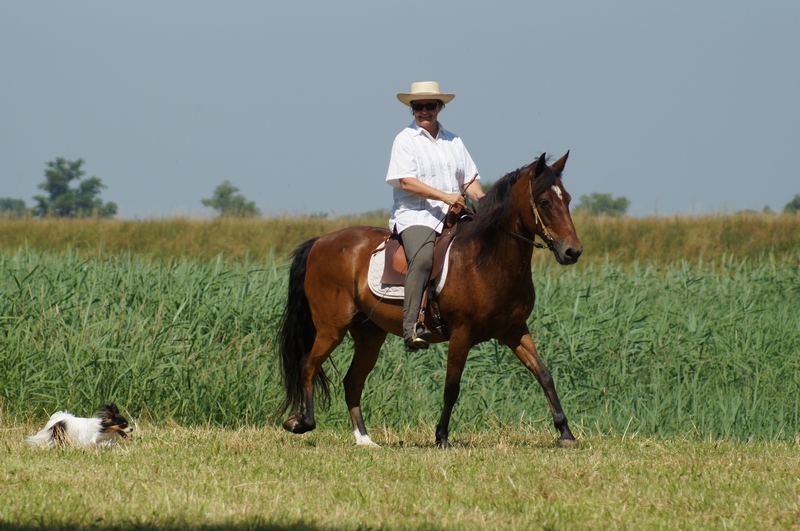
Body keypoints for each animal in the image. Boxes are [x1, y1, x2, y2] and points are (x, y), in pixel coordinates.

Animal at [277, 151, 582, 448]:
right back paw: (301, 422)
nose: (573, 252)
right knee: (308, 365)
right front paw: (441, 437)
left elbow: (544, 374)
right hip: (331, 329)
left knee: (352, 382)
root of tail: (319, 242)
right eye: (544, 201)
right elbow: (452, 387)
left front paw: (565, 433)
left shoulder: (514, 330)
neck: (486, 259)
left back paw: (364, 439)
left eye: (567, 198)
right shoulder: (462, 334)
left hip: (369, 335)